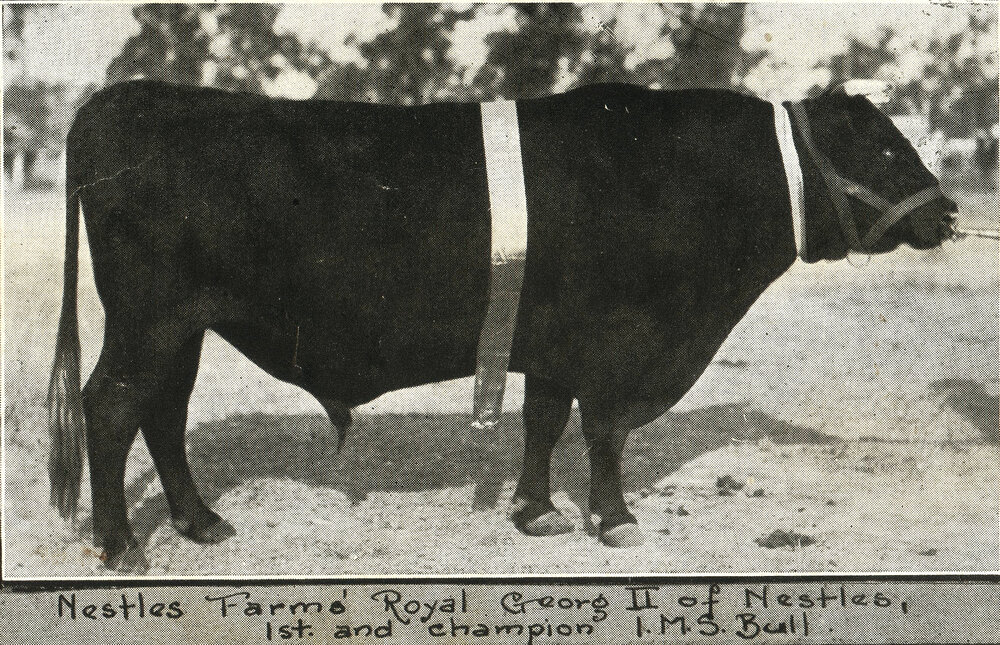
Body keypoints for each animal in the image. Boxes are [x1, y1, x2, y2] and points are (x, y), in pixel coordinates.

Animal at [48, 80, 957, 572]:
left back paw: (201, 522)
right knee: (112, 407)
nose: (947, 211)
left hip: (182, 327)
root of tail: (121, 99)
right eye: (883, 149)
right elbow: (603, 433)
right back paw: (121, 544)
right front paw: (614, 519)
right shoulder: (615, 341)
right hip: (149, 318)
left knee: (164, 413)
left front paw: (534, 510)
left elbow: (544, 420)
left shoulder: (552, 339)